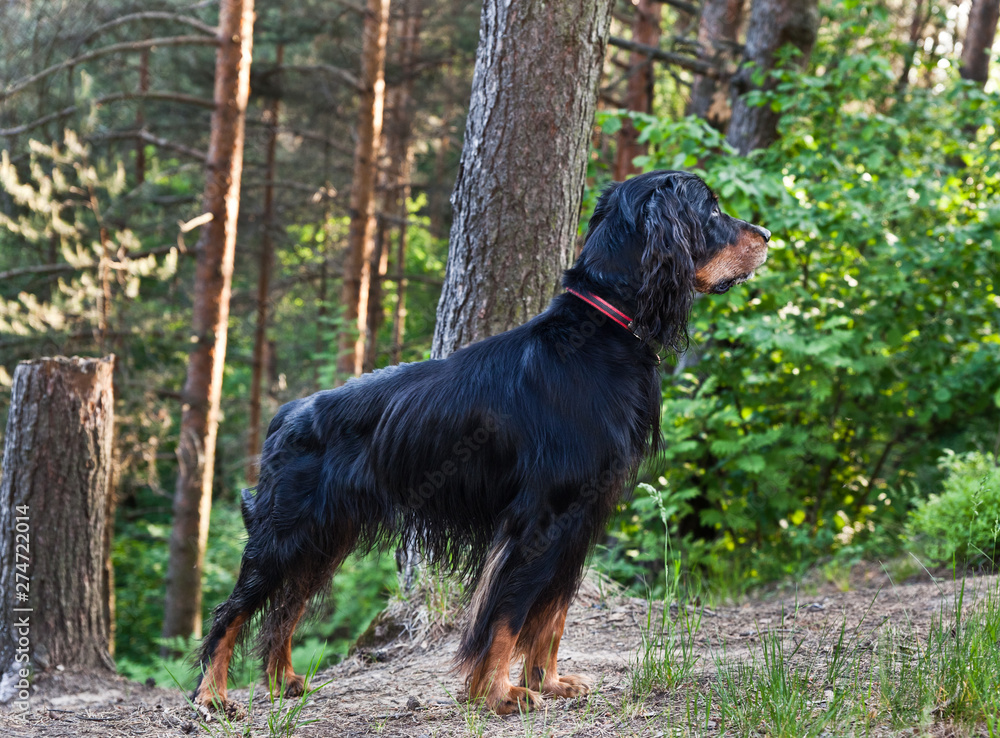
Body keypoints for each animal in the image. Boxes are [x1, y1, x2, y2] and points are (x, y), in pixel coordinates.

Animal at [195, 168, 772, 712]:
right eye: (711, 209)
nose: (767, 234)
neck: (596, 336)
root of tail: (287, 414)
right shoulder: (541, 516)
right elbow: (510, 611)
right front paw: (499, 693)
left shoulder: (581, 516)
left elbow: (552, 614)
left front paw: (548, 681)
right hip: (288, 530)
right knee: (233, 611)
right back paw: (212, 695)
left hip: (324, 533)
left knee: (286, 607)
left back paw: (282, 680)